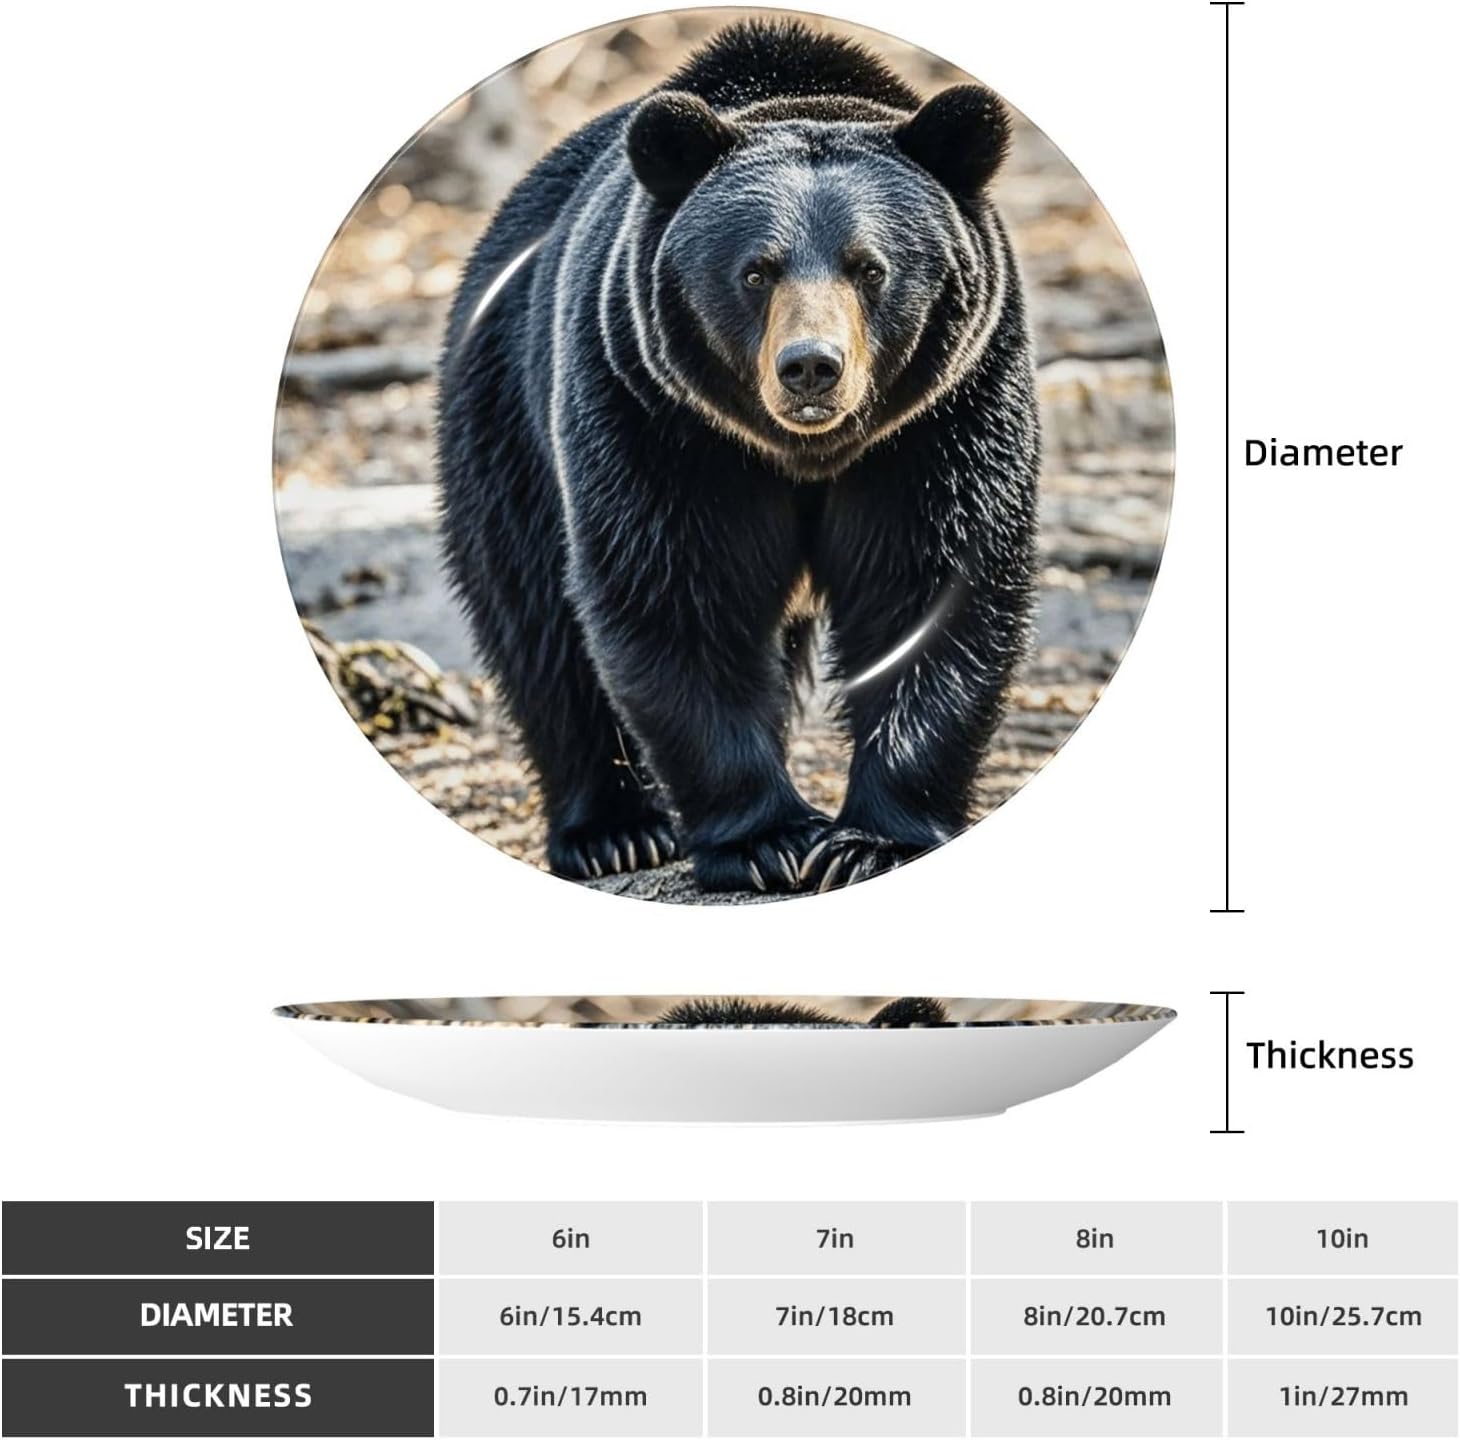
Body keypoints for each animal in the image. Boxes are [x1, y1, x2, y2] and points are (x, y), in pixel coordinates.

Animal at [437, 20, 1039, 894]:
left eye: (869, 268)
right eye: (757, 270)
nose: (812, 367)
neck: (806, 454)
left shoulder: (945, 413)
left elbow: (932, 588)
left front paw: (871, 839)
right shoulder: (658, 414)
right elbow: (672, 590)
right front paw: (769, 839)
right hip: (505, 415)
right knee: (536, 620)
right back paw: (613, 830)